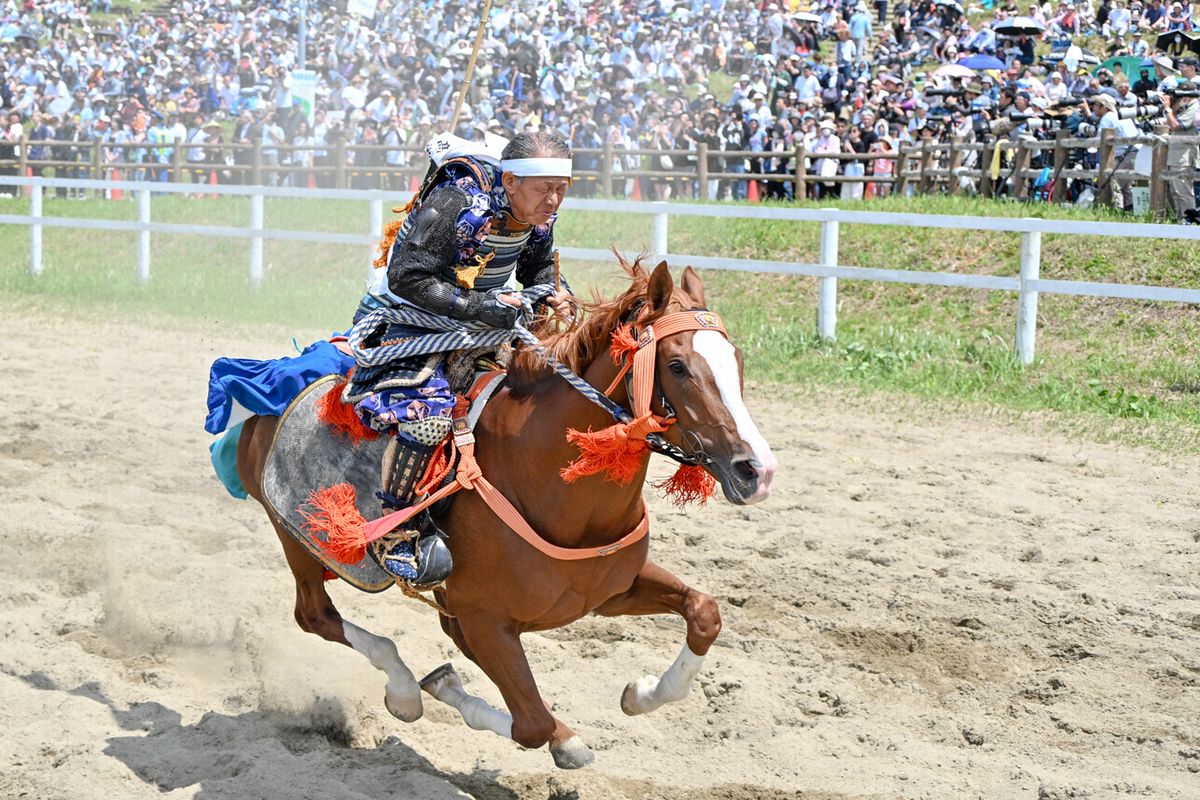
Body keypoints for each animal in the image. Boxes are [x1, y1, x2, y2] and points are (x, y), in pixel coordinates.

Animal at [234, 256, 777, 767]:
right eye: (678, 366)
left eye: (737, 359)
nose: (757, 470)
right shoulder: (485, 618)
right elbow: (530, 724)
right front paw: (451, 691)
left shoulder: (609, 592)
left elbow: (704, 613)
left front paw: (641, 694)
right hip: (298, 539)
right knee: (315, 615)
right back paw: (405, 690)